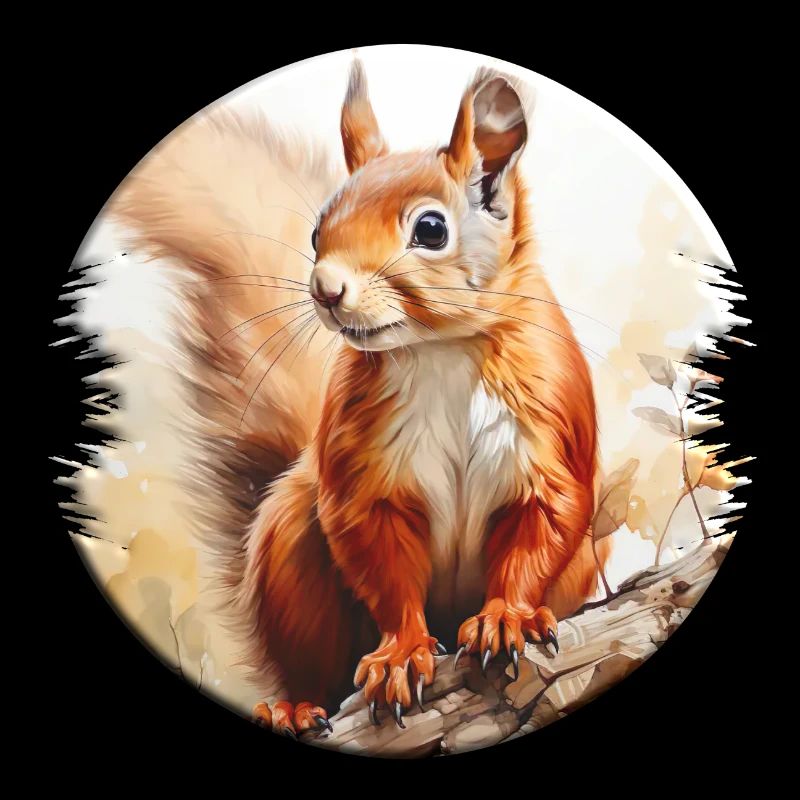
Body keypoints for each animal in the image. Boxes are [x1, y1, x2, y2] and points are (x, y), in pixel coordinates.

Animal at [111, 60, 604, 737]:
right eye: (319, 227)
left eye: (431, 229)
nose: (325, 288)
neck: (440, 351)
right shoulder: (363, 475)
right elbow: (384, 567)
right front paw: (400, 653)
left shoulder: (550, 430)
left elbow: (541, 529)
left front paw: (507, 616)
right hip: (291, 547)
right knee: (313, 668)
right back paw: (293, 706)